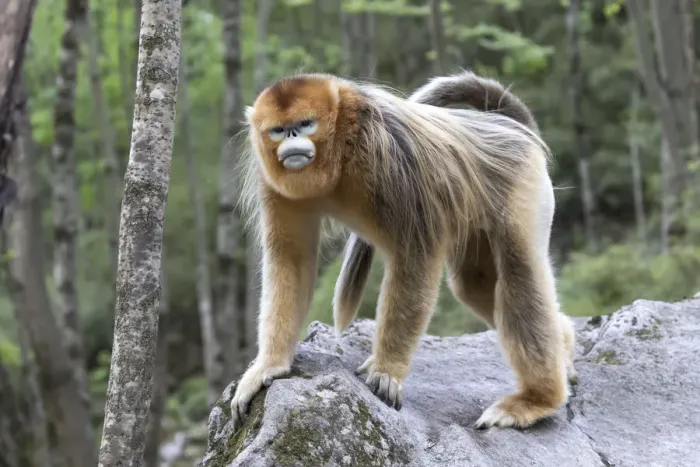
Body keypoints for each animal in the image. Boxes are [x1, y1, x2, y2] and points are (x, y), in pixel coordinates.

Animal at [230, 70, 578, 432]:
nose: (291, 139)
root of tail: (509, 126)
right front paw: (269, 366)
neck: (341, 152)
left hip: (522, 187)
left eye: (305, 124)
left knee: (518, 271)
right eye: (278, 130)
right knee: (475, 284)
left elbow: (417, 253)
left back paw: (537, 399)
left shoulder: (389, 154)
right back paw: (564, 346)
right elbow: (291, 260)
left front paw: (387, 371)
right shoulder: (271, 180)